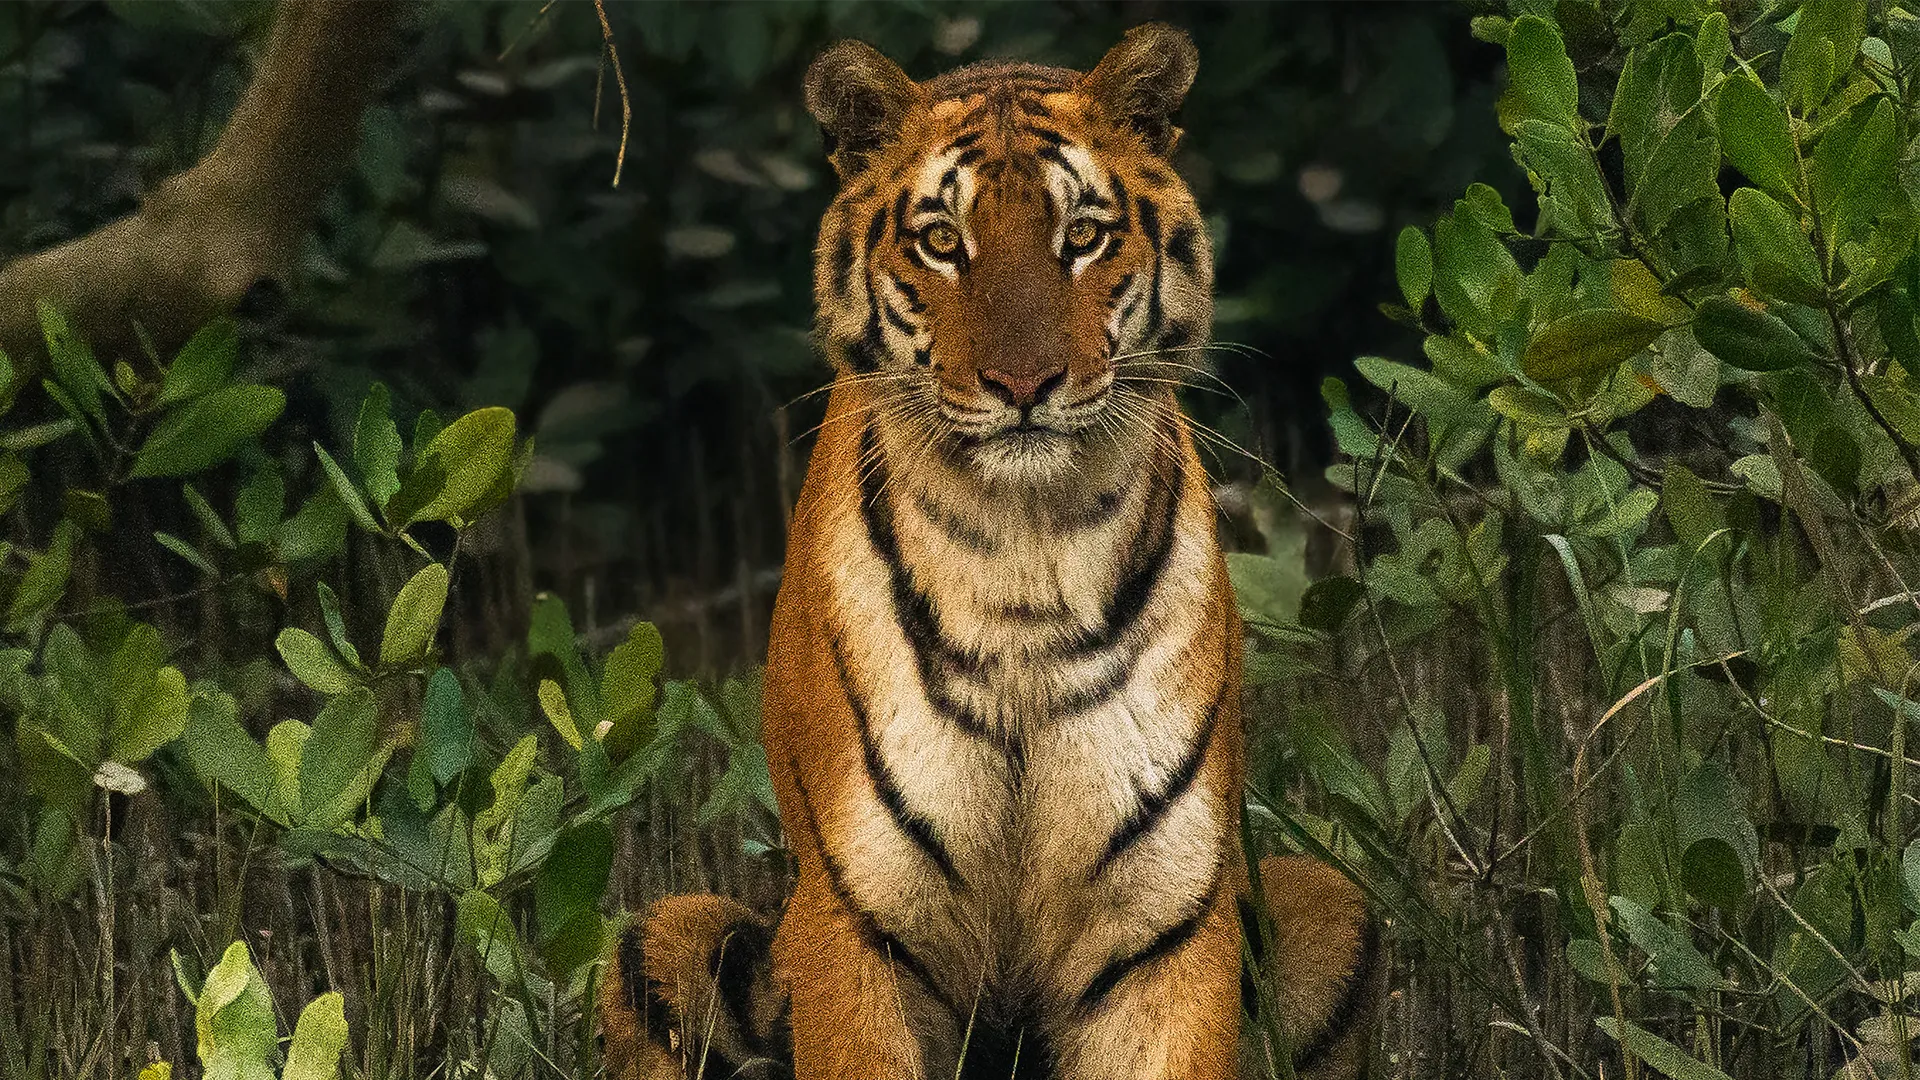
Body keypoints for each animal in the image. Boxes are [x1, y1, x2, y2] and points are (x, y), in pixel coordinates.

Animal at [591, 23, 1374, 1076]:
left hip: (1335, 903)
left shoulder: (1165, 922)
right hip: (664, 936)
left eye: (1081, 236)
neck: (1023, 550)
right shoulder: (857, 922)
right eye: (941, 242)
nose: (1024, 383)